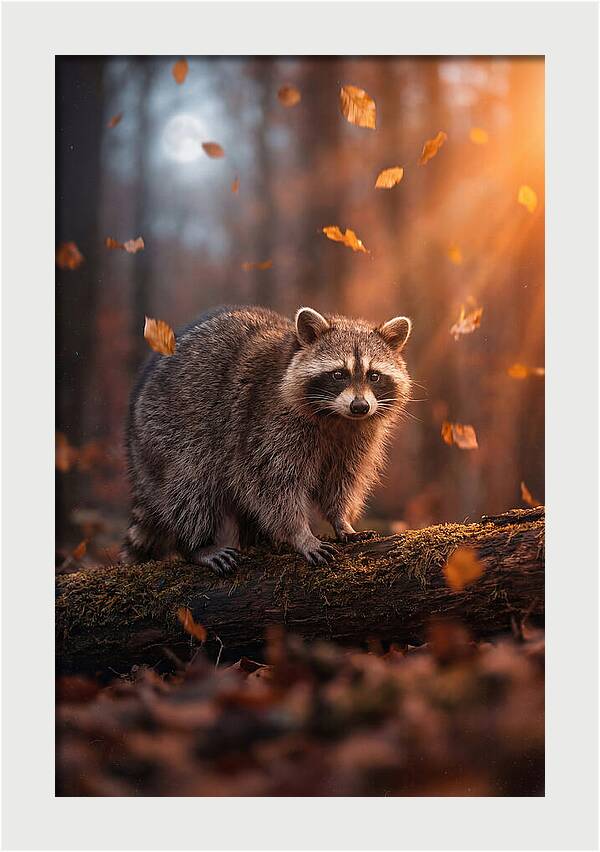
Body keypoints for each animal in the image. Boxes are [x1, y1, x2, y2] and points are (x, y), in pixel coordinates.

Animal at [122, 305, 412, 574]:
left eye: (374, 375)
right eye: (339, 374)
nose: (360, 406)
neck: (337, 417)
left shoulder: (356, 437)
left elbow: (342, 480)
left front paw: (341, 520)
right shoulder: (267, 423)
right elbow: (274, 484)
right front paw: (300, 534)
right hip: (168, 431)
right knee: (190, 486)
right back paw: (197, 545)